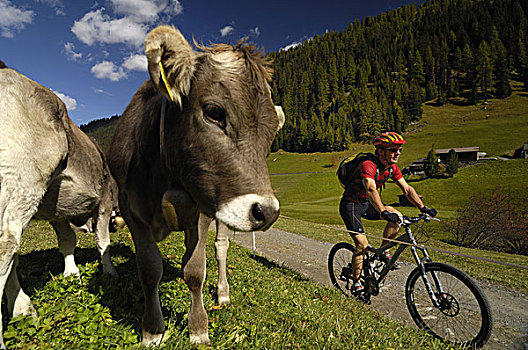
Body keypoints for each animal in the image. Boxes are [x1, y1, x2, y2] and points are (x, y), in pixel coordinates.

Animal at [0, 59, 117, 348]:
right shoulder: (105, 200)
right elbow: (103, 242)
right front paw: (109, 272)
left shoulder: (58, 212)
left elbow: (66, 242)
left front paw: (71, 274)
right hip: (24, 178)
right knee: (6, 245)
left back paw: (22, 308)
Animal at [106, 26, 284, 346]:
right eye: (214, 112)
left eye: (272, 132)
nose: (267, 212)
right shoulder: (130, 209)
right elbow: (149, 269)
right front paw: (152, 329)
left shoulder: (203, 209)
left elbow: (194, 271)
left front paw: (198, 329)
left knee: (221, 248)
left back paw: (223, 293)